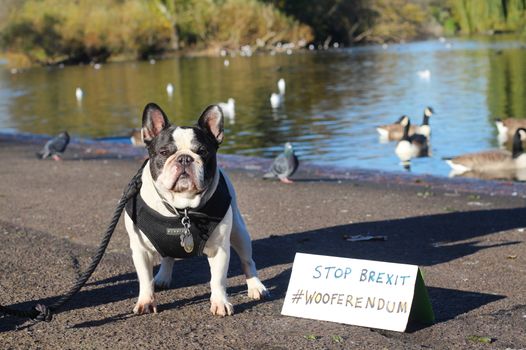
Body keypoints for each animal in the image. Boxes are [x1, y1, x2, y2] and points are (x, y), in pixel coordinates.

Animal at [126, 102, 270, 316]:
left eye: (202, 151)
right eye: (164, 152)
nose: (185, 158)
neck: (182, 208)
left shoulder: (220, 249)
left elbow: (218, 280)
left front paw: (220, 302)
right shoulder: (140, 249)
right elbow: (144, 279)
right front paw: (145, 301)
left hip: (239, 232)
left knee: (247, 261)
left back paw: (256, 287)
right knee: (168, 257)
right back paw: (162, 277)